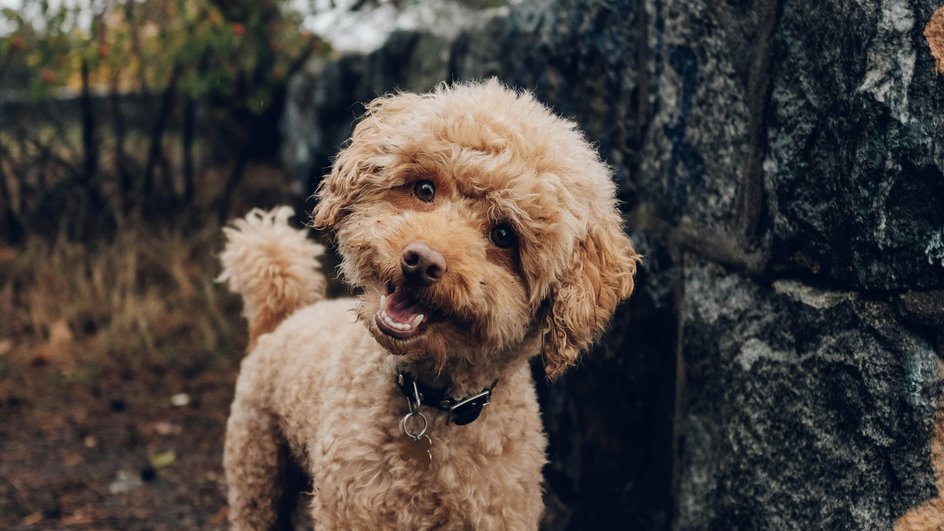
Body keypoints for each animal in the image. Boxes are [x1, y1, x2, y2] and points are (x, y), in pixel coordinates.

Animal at [218, 78, 636, 528]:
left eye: (504, 235)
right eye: (424, 189)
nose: (421, 261)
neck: (430, 401)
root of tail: (282, 319)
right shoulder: (351, 509)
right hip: (257, 469)